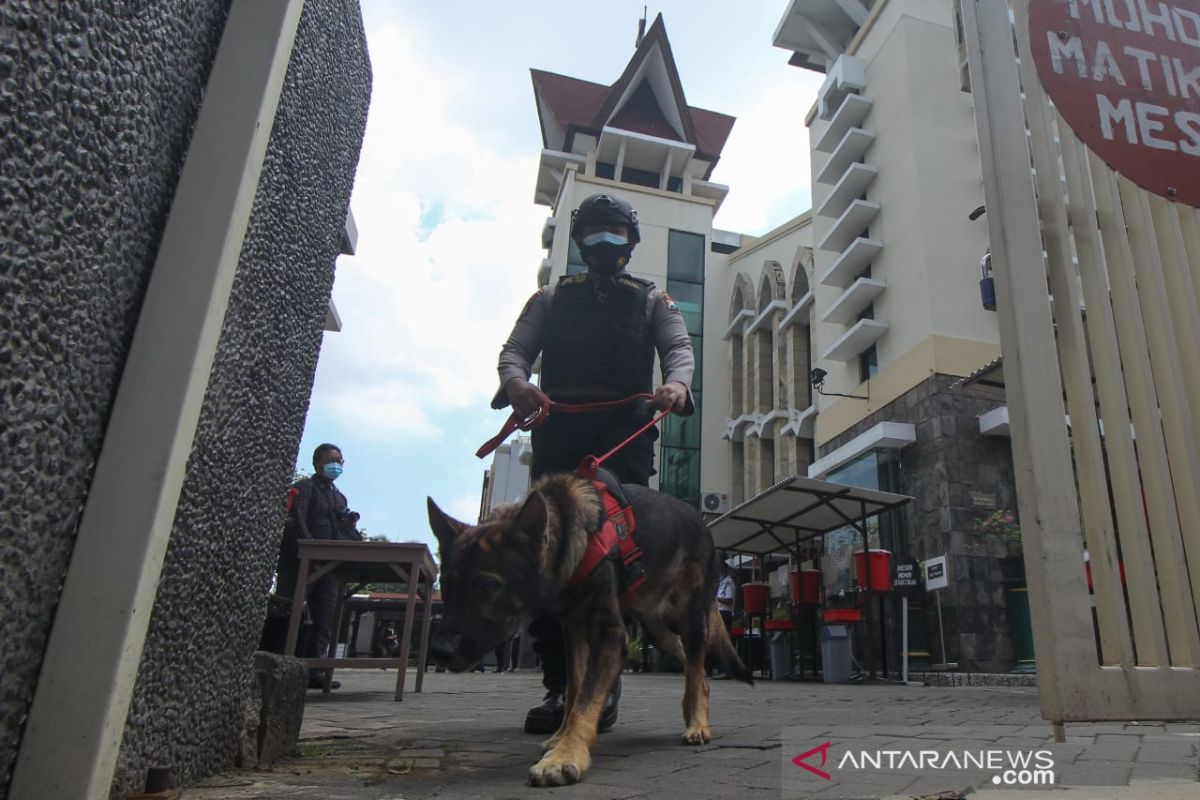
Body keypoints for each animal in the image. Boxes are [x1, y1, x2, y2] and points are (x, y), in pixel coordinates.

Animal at [429, 472, 748, 786]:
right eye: (446, 584)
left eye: (489, 585)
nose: (439, 651)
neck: (569, 533)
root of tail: (701, 521)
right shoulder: (574, 633)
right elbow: (574, 690)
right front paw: (559, 738)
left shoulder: (610, 634)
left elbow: (586, 699)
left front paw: (565, 755)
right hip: (658, 631)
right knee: (689, 664)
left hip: (690, 620)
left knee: (696, 666)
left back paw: (698, 723)